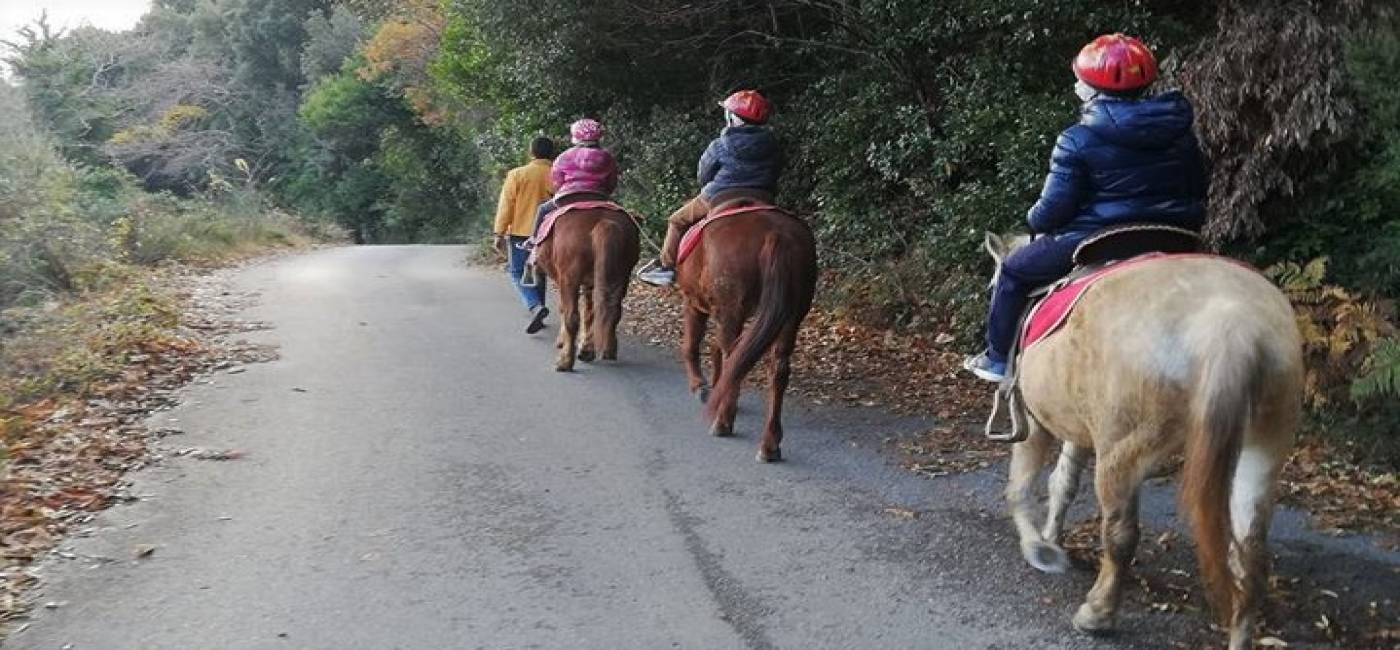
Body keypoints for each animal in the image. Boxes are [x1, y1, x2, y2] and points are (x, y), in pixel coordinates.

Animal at [534, 208, 641, 369]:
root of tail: (605, 222)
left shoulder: (562, 280)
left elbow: (565, 309)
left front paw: (562, 341)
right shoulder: (590, 284)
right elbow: (589, 312)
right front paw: (586, 347)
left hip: (570, 279)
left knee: (572, 318)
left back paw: (565, 361)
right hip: (623, 277)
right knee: (613, 311)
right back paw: (607, 350)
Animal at [677, 208, 817, 462]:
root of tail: (776, 234)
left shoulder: (694, 302)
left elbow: (692, 344)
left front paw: (700, 386)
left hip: (731, 310)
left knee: (734, 357)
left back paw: (723, 422)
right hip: (792, 316)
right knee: (777, 369)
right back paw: (769, 444)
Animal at [985, 231, 1299, 647]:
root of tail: (1234, 325)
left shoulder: (1035, 419)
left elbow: (1021, 484)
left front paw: (1039, 548)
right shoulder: (1080, 427)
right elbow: (1062, 482)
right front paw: (1051, 537)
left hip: (1122, 453)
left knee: (1121, 535)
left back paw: (1097, 614)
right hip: (1262, 451)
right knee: (1251, 556)